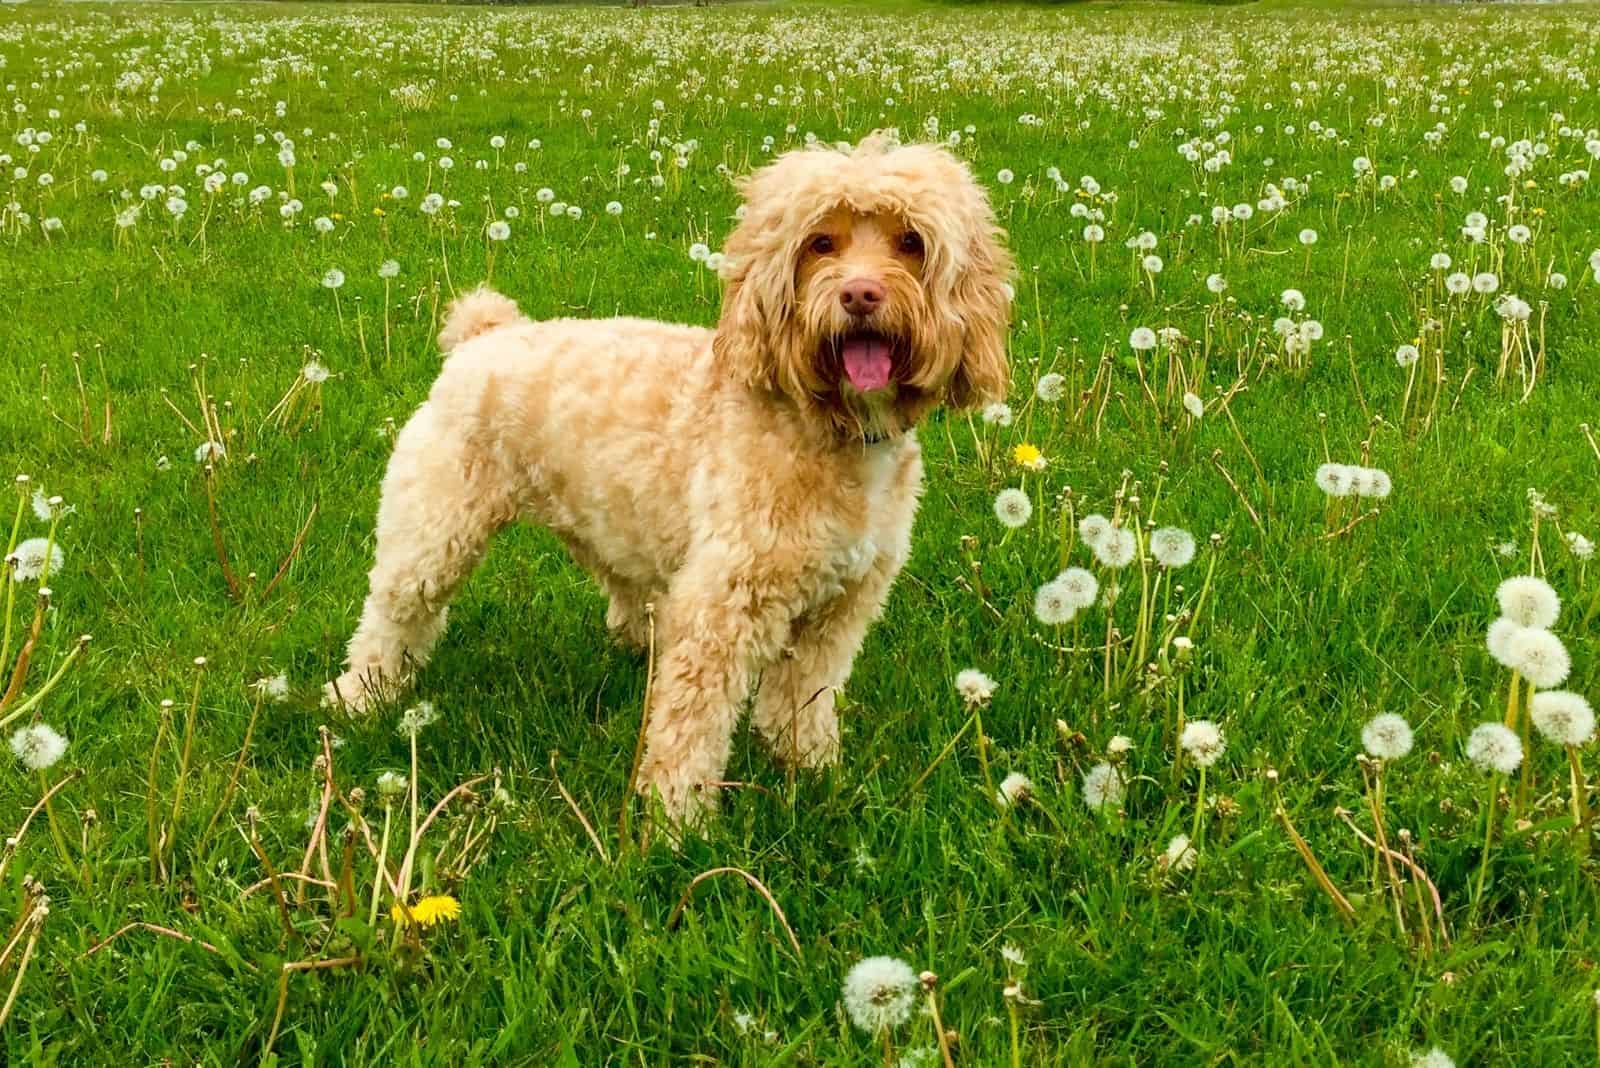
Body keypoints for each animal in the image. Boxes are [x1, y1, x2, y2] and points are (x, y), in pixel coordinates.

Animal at [324, 133, 1011, 831]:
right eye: (821, 243)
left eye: (911, 243)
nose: (861, 295)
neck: (829, 428)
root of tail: (484, 335)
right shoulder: (722, 609)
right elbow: (692, 724)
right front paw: (678, 820)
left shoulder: (838, 611)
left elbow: (804, 700)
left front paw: (809, 771)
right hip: (435, 529)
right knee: (392, 616)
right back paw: (358, 698)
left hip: (606, 524)